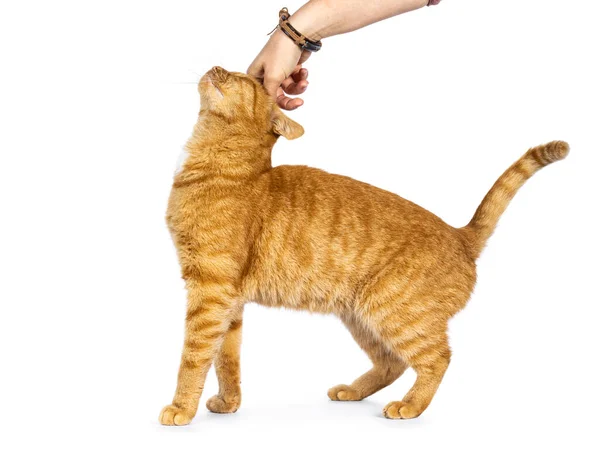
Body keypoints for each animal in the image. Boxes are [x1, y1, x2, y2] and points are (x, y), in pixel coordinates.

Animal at [158, 66, 568, 424]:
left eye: (243, 78)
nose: (216, 66)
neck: (220, 168)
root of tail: (459, 233)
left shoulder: (210, 292)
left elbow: (193, 358)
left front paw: (180, 409)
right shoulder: (230, 301)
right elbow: (226, 360)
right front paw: (229, 402)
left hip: (394, 313)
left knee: (438, 358)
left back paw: (409, 406)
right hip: (361, 316)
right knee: (392, 362)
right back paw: (354, 392)